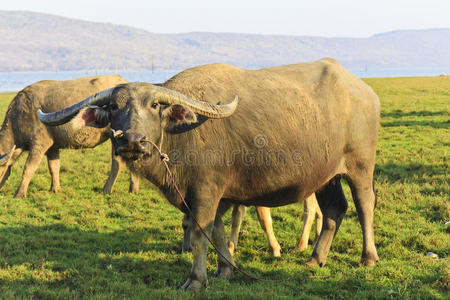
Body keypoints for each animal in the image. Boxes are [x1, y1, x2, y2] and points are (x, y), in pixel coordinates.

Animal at [0, 74, 137, 197]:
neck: (18, 117)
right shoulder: (53, 147)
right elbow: (54, 167)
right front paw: (55, 189)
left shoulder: (39, 145)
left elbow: (28, 168)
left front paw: (19, 194)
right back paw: (133, 189)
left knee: (118, 163)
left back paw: (106, 190)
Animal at [38, 57, 382, 290]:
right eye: (112, 107)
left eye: (154, 105)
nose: (132, 140)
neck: (180, 133)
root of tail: (364, 91)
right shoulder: (218, 195)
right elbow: (217, 233)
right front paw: (225, 270)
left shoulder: (205, 192)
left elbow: (200, 237)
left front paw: (196, 280)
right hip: (326, 175)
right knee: (335, 209)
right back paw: (314, 258)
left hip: (360, 166)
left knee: (365, 206)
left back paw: (368, 258)